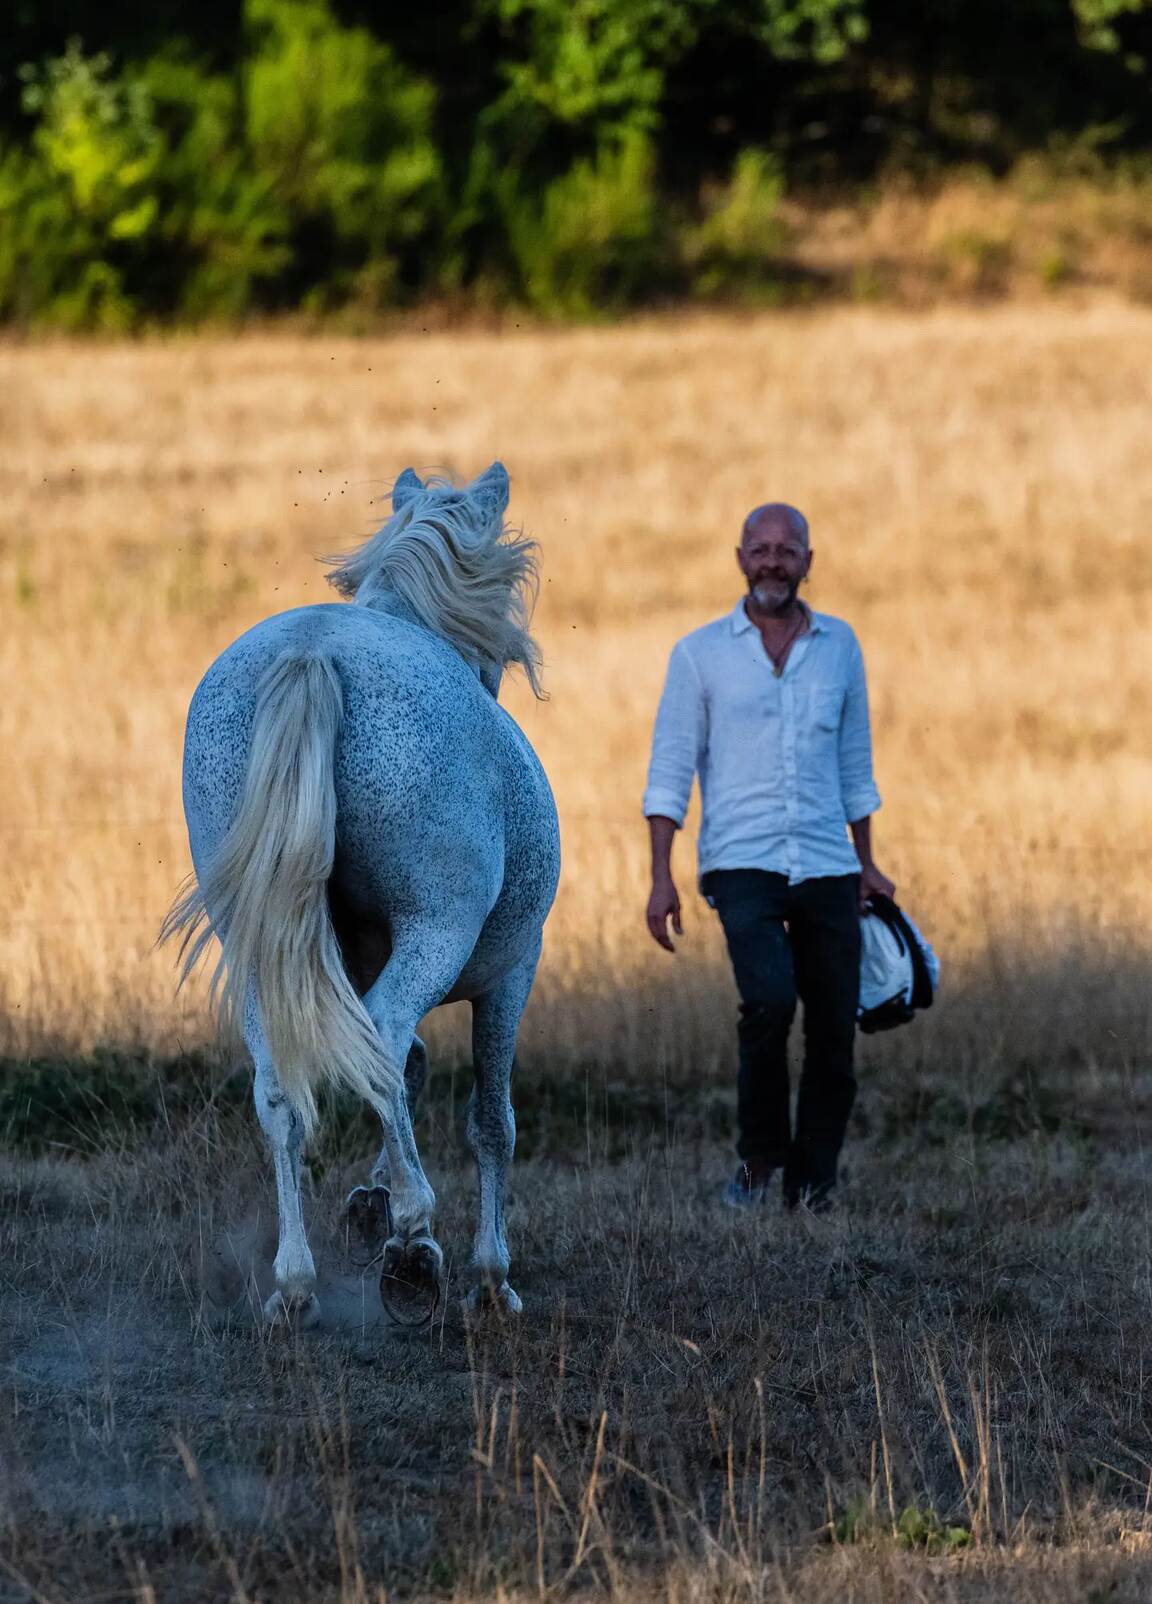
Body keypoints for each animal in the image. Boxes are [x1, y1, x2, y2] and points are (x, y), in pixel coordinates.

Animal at [162, 462, 560, 1324]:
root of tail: (313, 651)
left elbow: (408, 1070)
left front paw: (368, 1203)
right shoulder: (511, 974)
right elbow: (491, 1120)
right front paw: (489, 1275)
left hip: (262, 953)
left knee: (281, 1086)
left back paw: (296, 1284)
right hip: (437, 933)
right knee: (383, 1034)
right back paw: (413, 1241)